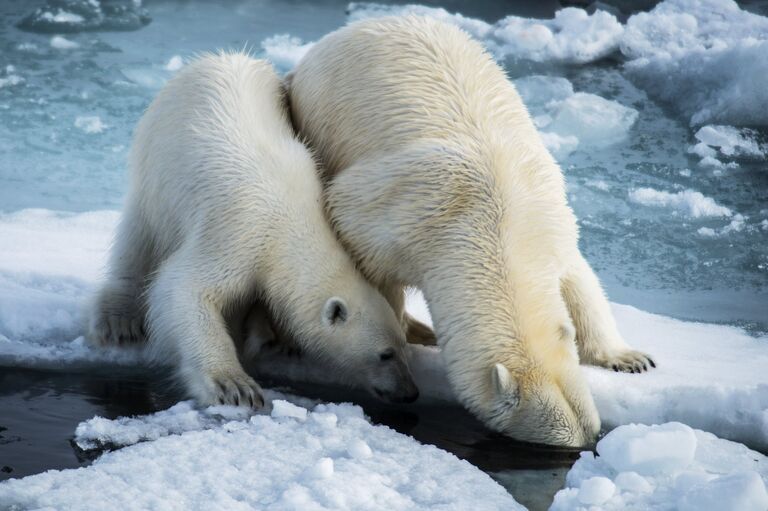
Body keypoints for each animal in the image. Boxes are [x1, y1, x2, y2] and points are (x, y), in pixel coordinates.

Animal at [88, 53, 420, 408]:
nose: (410, 392)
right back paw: (119, 320)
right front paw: (235, 385)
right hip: (157, 162)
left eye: (403, 349)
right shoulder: (238, 233)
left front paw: (272, 339)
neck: (289, 219)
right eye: (385, 354)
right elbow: (184, 287)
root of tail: (217, 57)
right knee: (139, 238)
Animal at [288, 18, 656, 446]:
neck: (496, 226)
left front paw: (630, 359)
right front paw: (405, 331)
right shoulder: (388, 214)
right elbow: (374, 273)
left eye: (592, 433)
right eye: (557, 444)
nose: (587, 447)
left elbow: (581, 281)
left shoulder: (551, 222)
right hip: (320, 114)